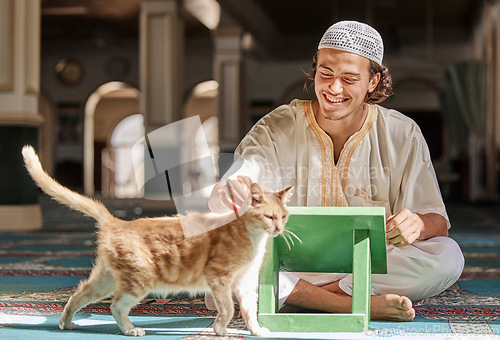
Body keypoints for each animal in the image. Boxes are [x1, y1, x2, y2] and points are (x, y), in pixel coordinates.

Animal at [21, 146, 292, 338]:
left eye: (283, 216)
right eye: (269, 216)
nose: (279, 228)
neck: (253, 238)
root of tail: (116, 222)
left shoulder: (245, 283)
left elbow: (249, 311)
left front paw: (256, 331)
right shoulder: (219, 277)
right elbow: (228, 309)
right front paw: (220, 330)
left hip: (105, 280)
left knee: (77, 295)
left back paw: (65, 323)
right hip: (139, 279)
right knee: (116, 306)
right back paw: (131, 329)